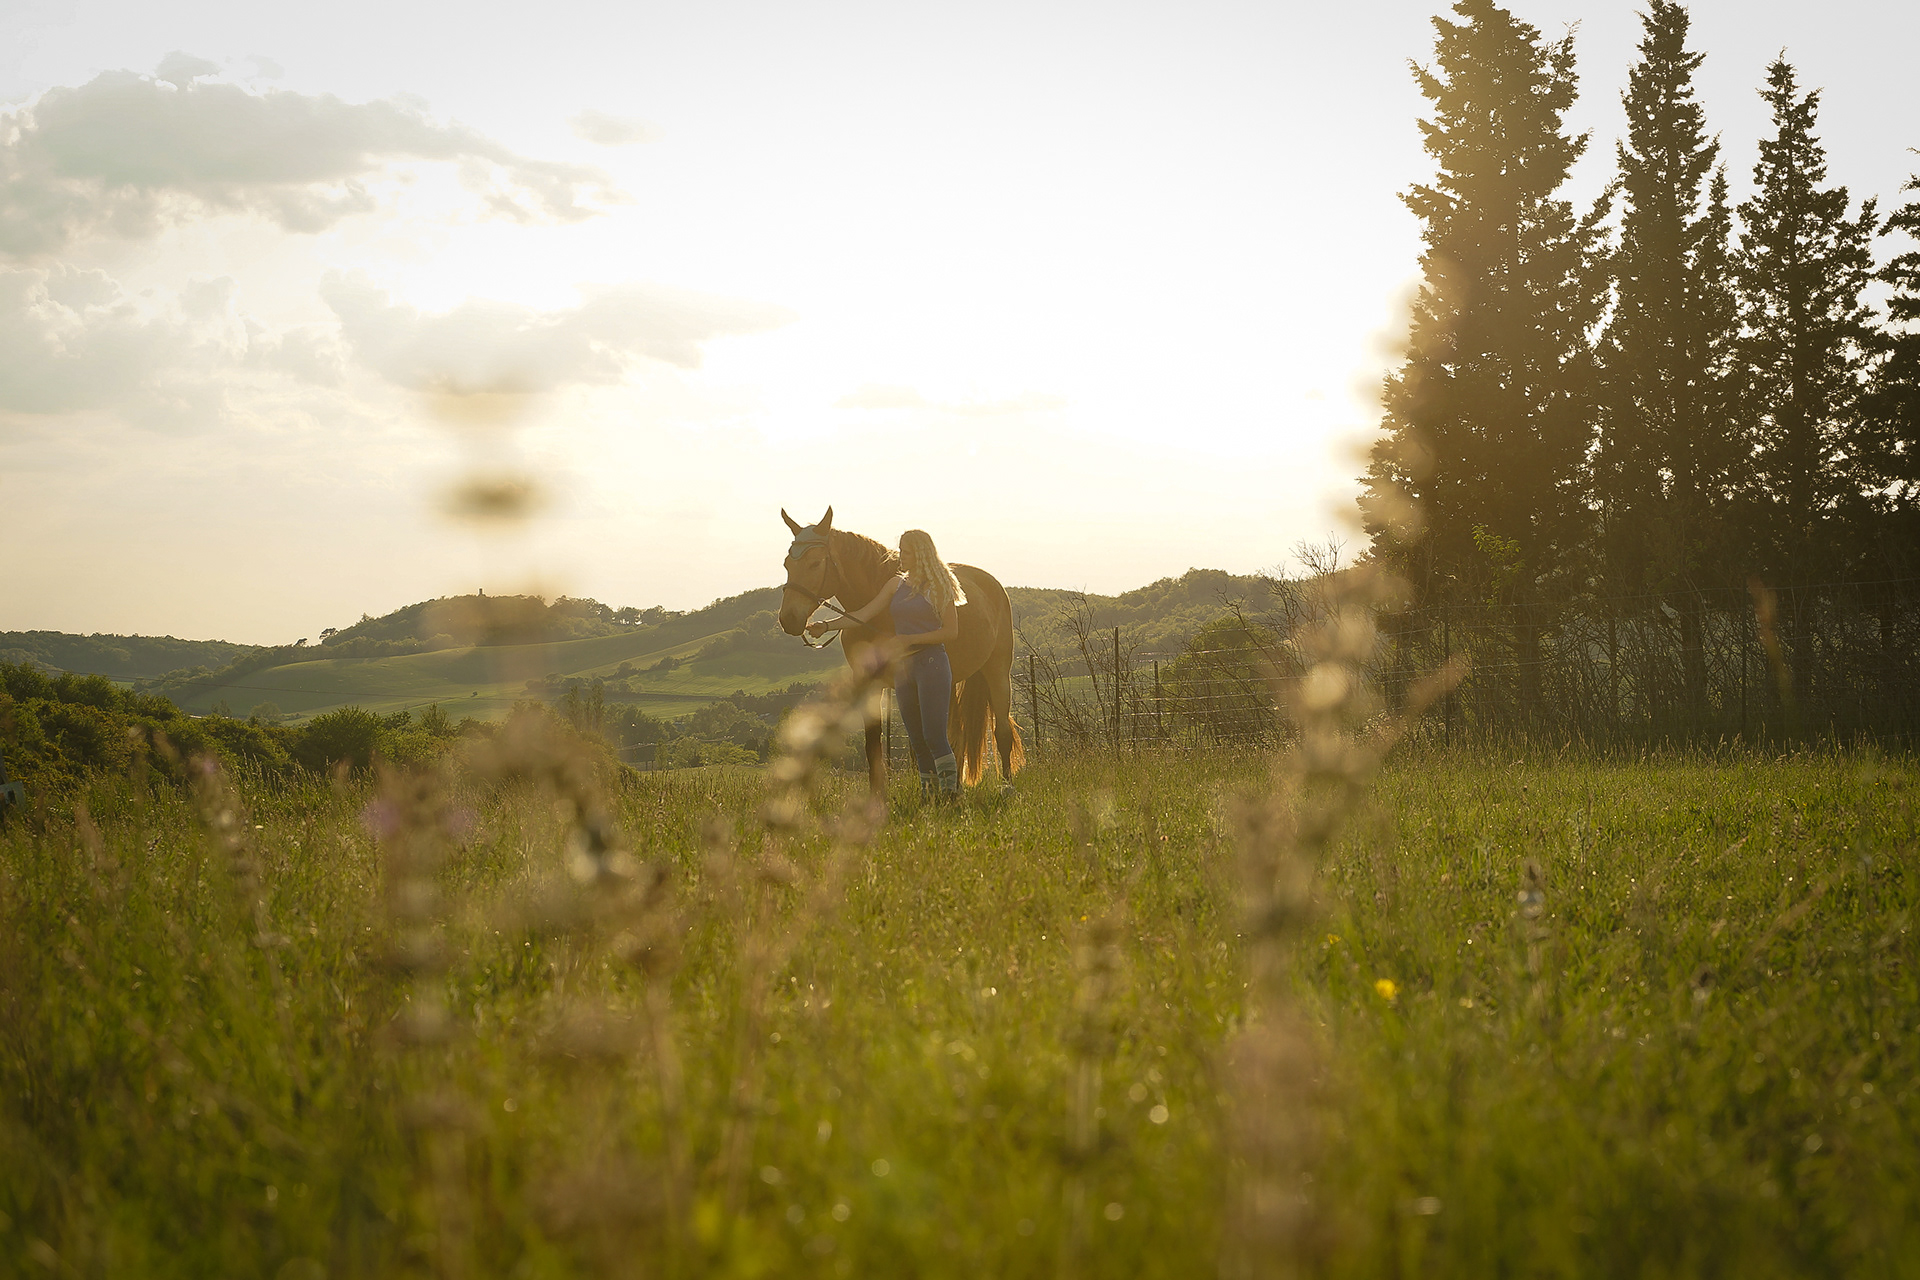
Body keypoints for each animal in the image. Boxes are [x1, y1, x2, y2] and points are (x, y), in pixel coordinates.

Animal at [776, 507, 1025, 796]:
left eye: (815, 564)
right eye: (787, 564)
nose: (789, 619)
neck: (876, 614)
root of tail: (992, 585)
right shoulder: (869, 683)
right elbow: (874, 742)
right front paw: (877, 796)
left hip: (997, 671)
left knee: (1001, 732)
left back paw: (1006, 787)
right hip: (950, 681)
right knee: (955, 735)